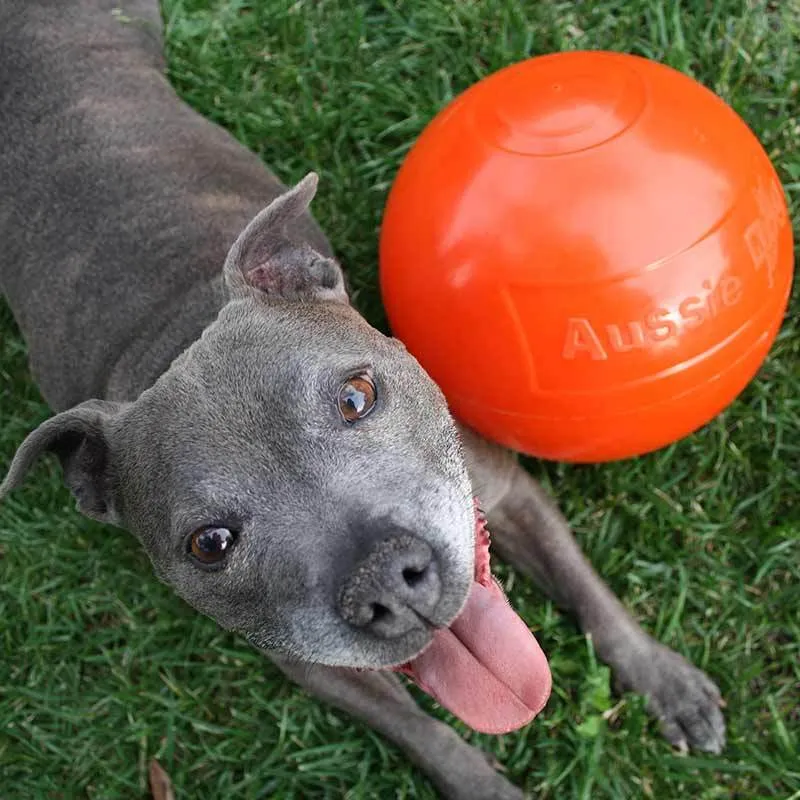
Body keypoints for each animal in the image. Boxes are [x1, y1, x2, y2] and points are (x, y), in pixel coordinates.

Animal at [0, 3, 724, 796]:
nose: (387, 584)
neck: (176, 330)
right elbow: (424, 730)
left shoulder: (506, 491)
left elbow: (586, 588)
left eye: (356, 397)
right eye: (210, 544)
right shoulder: (314, 663)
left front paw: (663, 680)